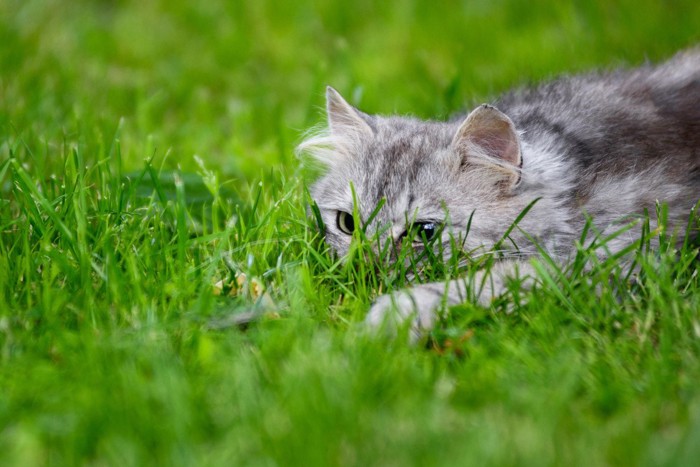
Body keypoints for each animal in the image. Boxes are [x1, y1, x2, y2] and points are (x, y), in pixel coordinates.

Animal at [296, 49, 700, 342]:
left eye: (424, 232)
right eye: (347, 224)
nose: (365, 271)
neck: (570, 175)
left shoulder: (614, 252)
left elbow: (483, 282)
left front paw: (390, 317)